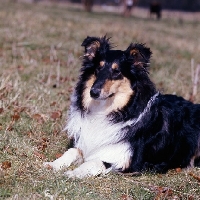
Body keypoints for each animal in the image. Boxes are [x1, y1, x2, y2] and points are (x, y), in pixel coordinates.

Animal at [45, 36, 200, 178]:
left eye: (117, 71)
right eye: (98, 68)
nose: (93, 92)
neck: (118, 110)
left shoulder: (127, 161)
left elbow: (95, 162)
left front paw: (74, 172)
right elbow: (72, 151)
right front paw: (53, 164)